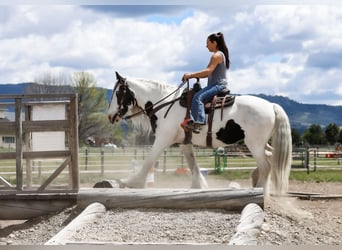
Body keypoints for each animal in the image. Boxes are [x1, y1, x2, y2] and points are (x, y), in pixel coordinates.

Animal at [107, 71, 292, 196]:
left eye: (118, 93)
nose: (110, 116)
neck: (166, 104)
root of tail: (271, 106)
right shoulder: (184, 142)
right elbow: (192, 163)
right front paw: (198, 186)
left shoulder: (162, 139)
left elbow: (149, 161)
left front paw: (132, 182)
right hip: (262, 144)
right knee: (271, 157)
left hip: (254, 144)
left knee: (266, 166)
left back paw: (260, 190)